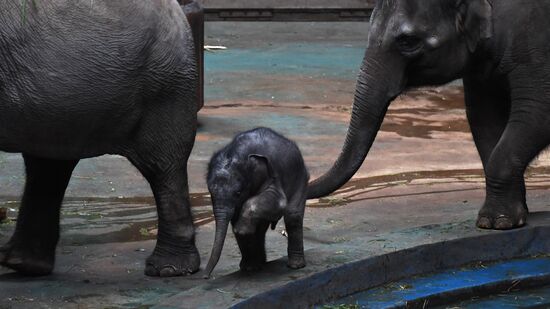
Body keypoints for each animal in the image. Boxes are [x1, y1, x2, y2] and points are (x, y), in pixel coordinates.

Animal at [0, 0, 203, 274]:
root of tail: (179, 12)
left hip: (163, 83)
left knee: (162, 166)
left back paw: (168, 269)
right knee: (47, 164)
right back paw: (24, 264)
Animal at [206, 127, 310, 276]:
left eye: (238, 193)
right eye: (210, 193)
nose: (205, 276)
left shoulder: (272, 174)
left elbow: (279, 202)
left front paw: (240, 230)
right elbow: (236, 220)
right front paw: (249, 267)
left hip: (300, 177)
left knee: (292, 215)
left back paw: (295, 266)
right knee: (261, 228)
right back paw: (256, 264)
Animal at [308, 0, 548, 230]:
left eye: (408, 41)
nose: (308, 177)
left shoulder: (534, 44)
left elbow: (536, 115)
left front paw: (498, 223)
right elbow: (484, 119)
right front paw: (508, 219)